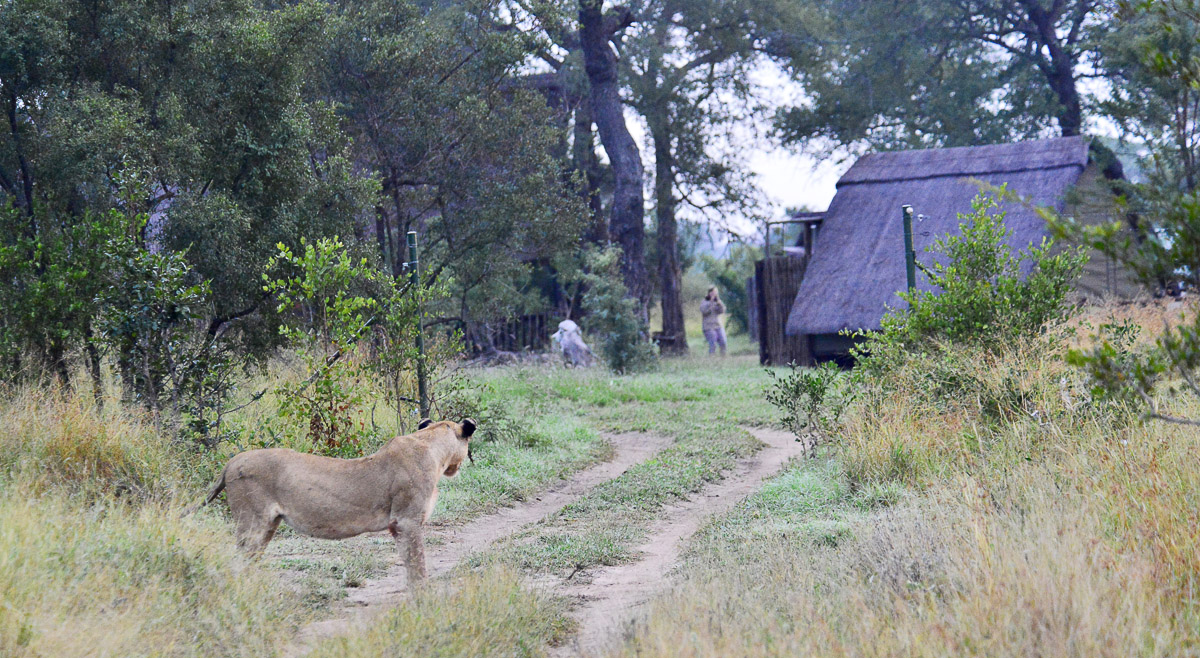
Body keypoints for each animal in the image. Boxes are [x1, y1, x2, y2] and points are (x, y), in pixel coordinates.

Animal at [190, 418, 475, 584]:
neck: (431, 446)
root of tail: (231, 462)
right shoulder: (406, 521)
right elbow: (417, 566)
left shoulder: (401, 524)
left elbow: (411, 563)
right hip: (251, 522)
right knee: (237, 562)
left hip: (268, 525)